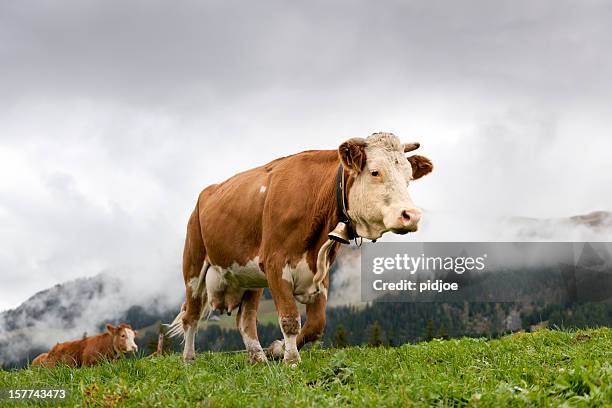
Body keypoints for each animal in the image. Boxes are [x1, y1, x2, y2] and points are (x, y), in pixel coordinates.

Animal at [170, 132, 432, 364]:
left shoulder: (320, 273)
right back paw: (189, 360)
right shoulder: (275, 264)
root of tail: (206, 193)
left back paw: (257, 359)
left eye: (409, 177)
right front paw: (291, 360)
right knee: (191, 316)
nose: (411, 215)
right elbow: (289, 318)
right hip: (194, 266)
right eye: (375, 172)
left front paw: (277, 349)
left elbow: (316, 325)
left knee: (245, 320)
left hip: (250, 277)